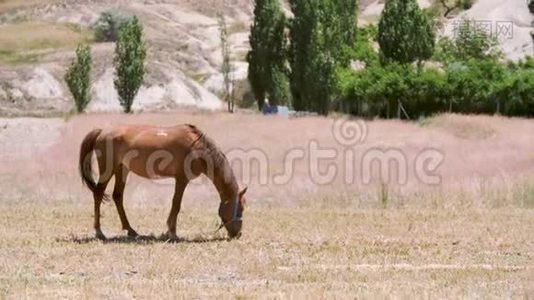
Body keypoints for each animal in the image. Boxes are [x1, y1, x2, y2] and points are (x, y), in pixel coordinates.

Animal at [78, 123, 249, 240]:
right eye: (239, 208)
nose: (238, 234)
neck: (197, 146)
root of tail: (102, 131)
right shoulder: (182, 179)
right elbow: (176, 204)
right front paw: (172, 233)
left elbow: (175, 204)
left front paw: (169, 231)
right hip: (108, 170)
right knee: (98, 194)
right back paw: (99, 232)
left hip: (122, 169)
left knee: (117, 196)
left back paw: (131, 230)